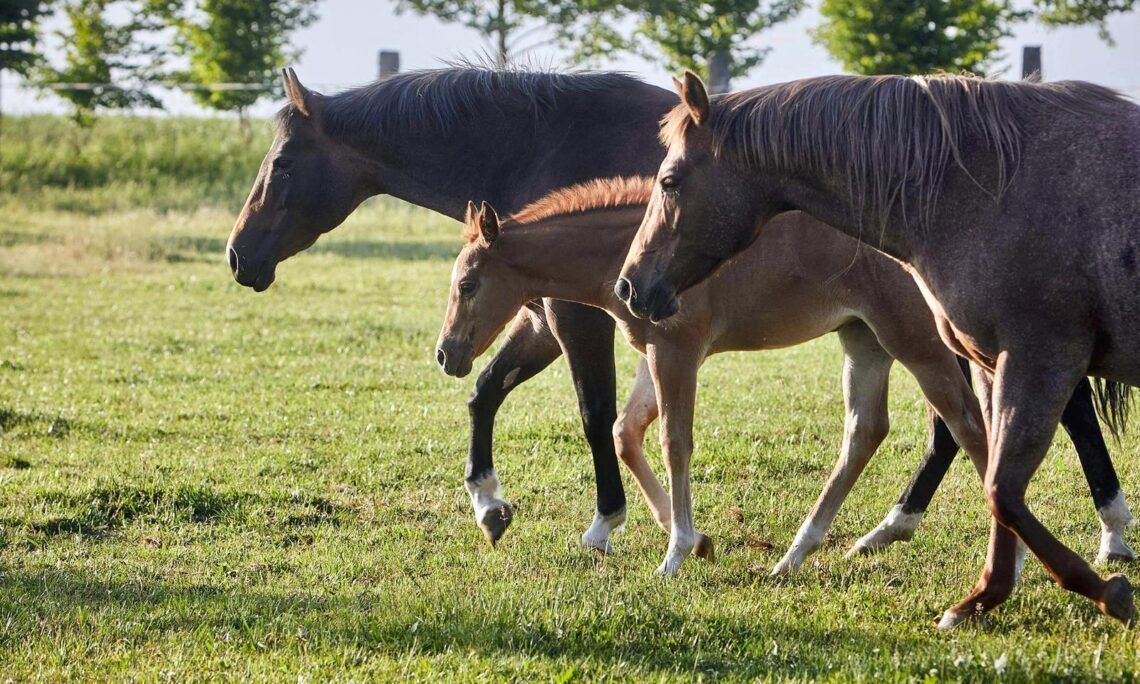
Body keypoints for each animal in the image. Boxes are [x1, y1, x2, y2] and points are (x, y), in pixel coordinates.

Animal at [616, 71, 1140, 626]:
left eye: (669, 181)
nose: (629, 286)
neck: (981, 187)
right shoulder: (990, 362)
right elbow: (998, 479)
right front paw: (984, 596)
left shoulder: (1038, 360)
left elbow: (1002, 488)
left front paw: (1104, 591)